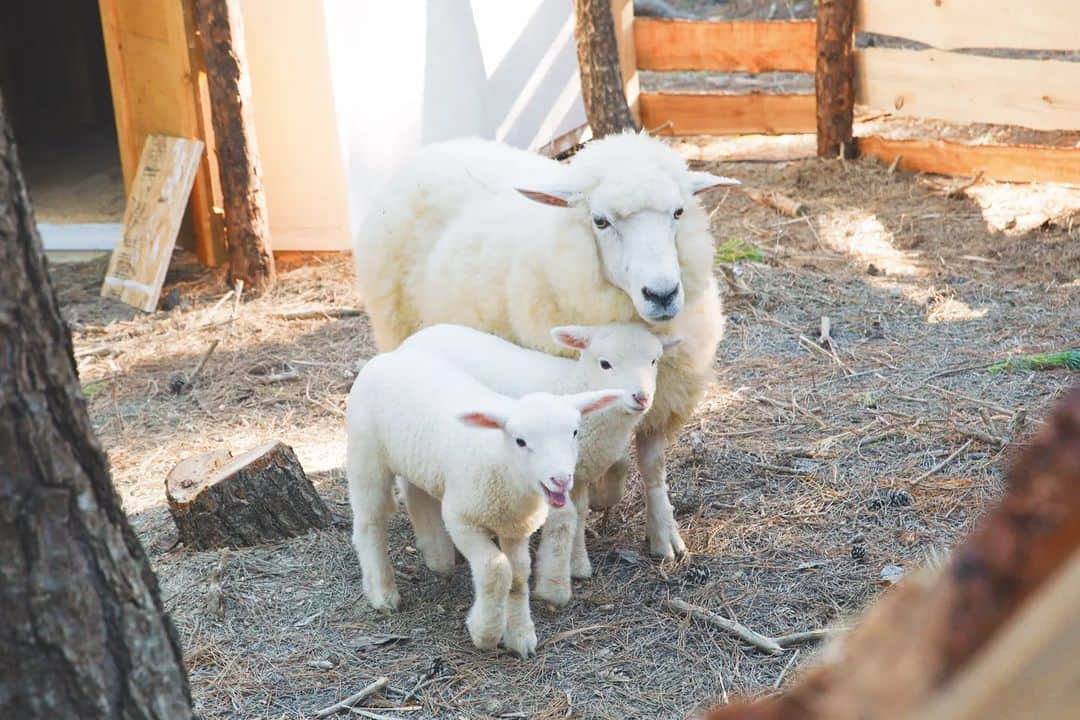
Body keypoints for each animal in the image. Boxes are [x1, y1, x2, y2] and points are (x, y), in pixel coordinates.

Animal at [343, 345, 617, 660]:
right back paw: (383, 592)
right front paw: (485, 632)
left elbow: (519, 576)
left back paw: (437, 556)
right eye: (520, 441)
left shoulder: (516, 526)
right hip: (366, 454)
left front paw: (520, 635)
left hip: (417, 460)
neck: (501, 463)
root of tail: (386, 357)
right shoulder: (463, 520)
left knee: (416, 493)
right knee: (370, 521)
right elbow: (496, 570)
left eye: (574, 432)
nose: (560, 479)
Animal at [352, 132, 734, 561]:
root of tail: (434, 149)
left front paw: (663, 533)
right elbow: (609, 455)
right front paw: (604, 494)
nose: (662, 294)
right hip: (395, 330)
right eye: (600, 221)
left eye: (679, 212)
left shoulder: (665, 396)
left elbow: (652, 468)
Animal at [401, 323, 678, 604]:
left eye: (654, 361)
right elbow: (565, 517)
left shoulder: (577, 473)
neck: (574, 385)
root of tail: (421, 335)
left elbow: (580, 513)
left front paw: (578, 563)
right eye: (605, 363)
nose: (641, 398)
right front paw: (555, 581)